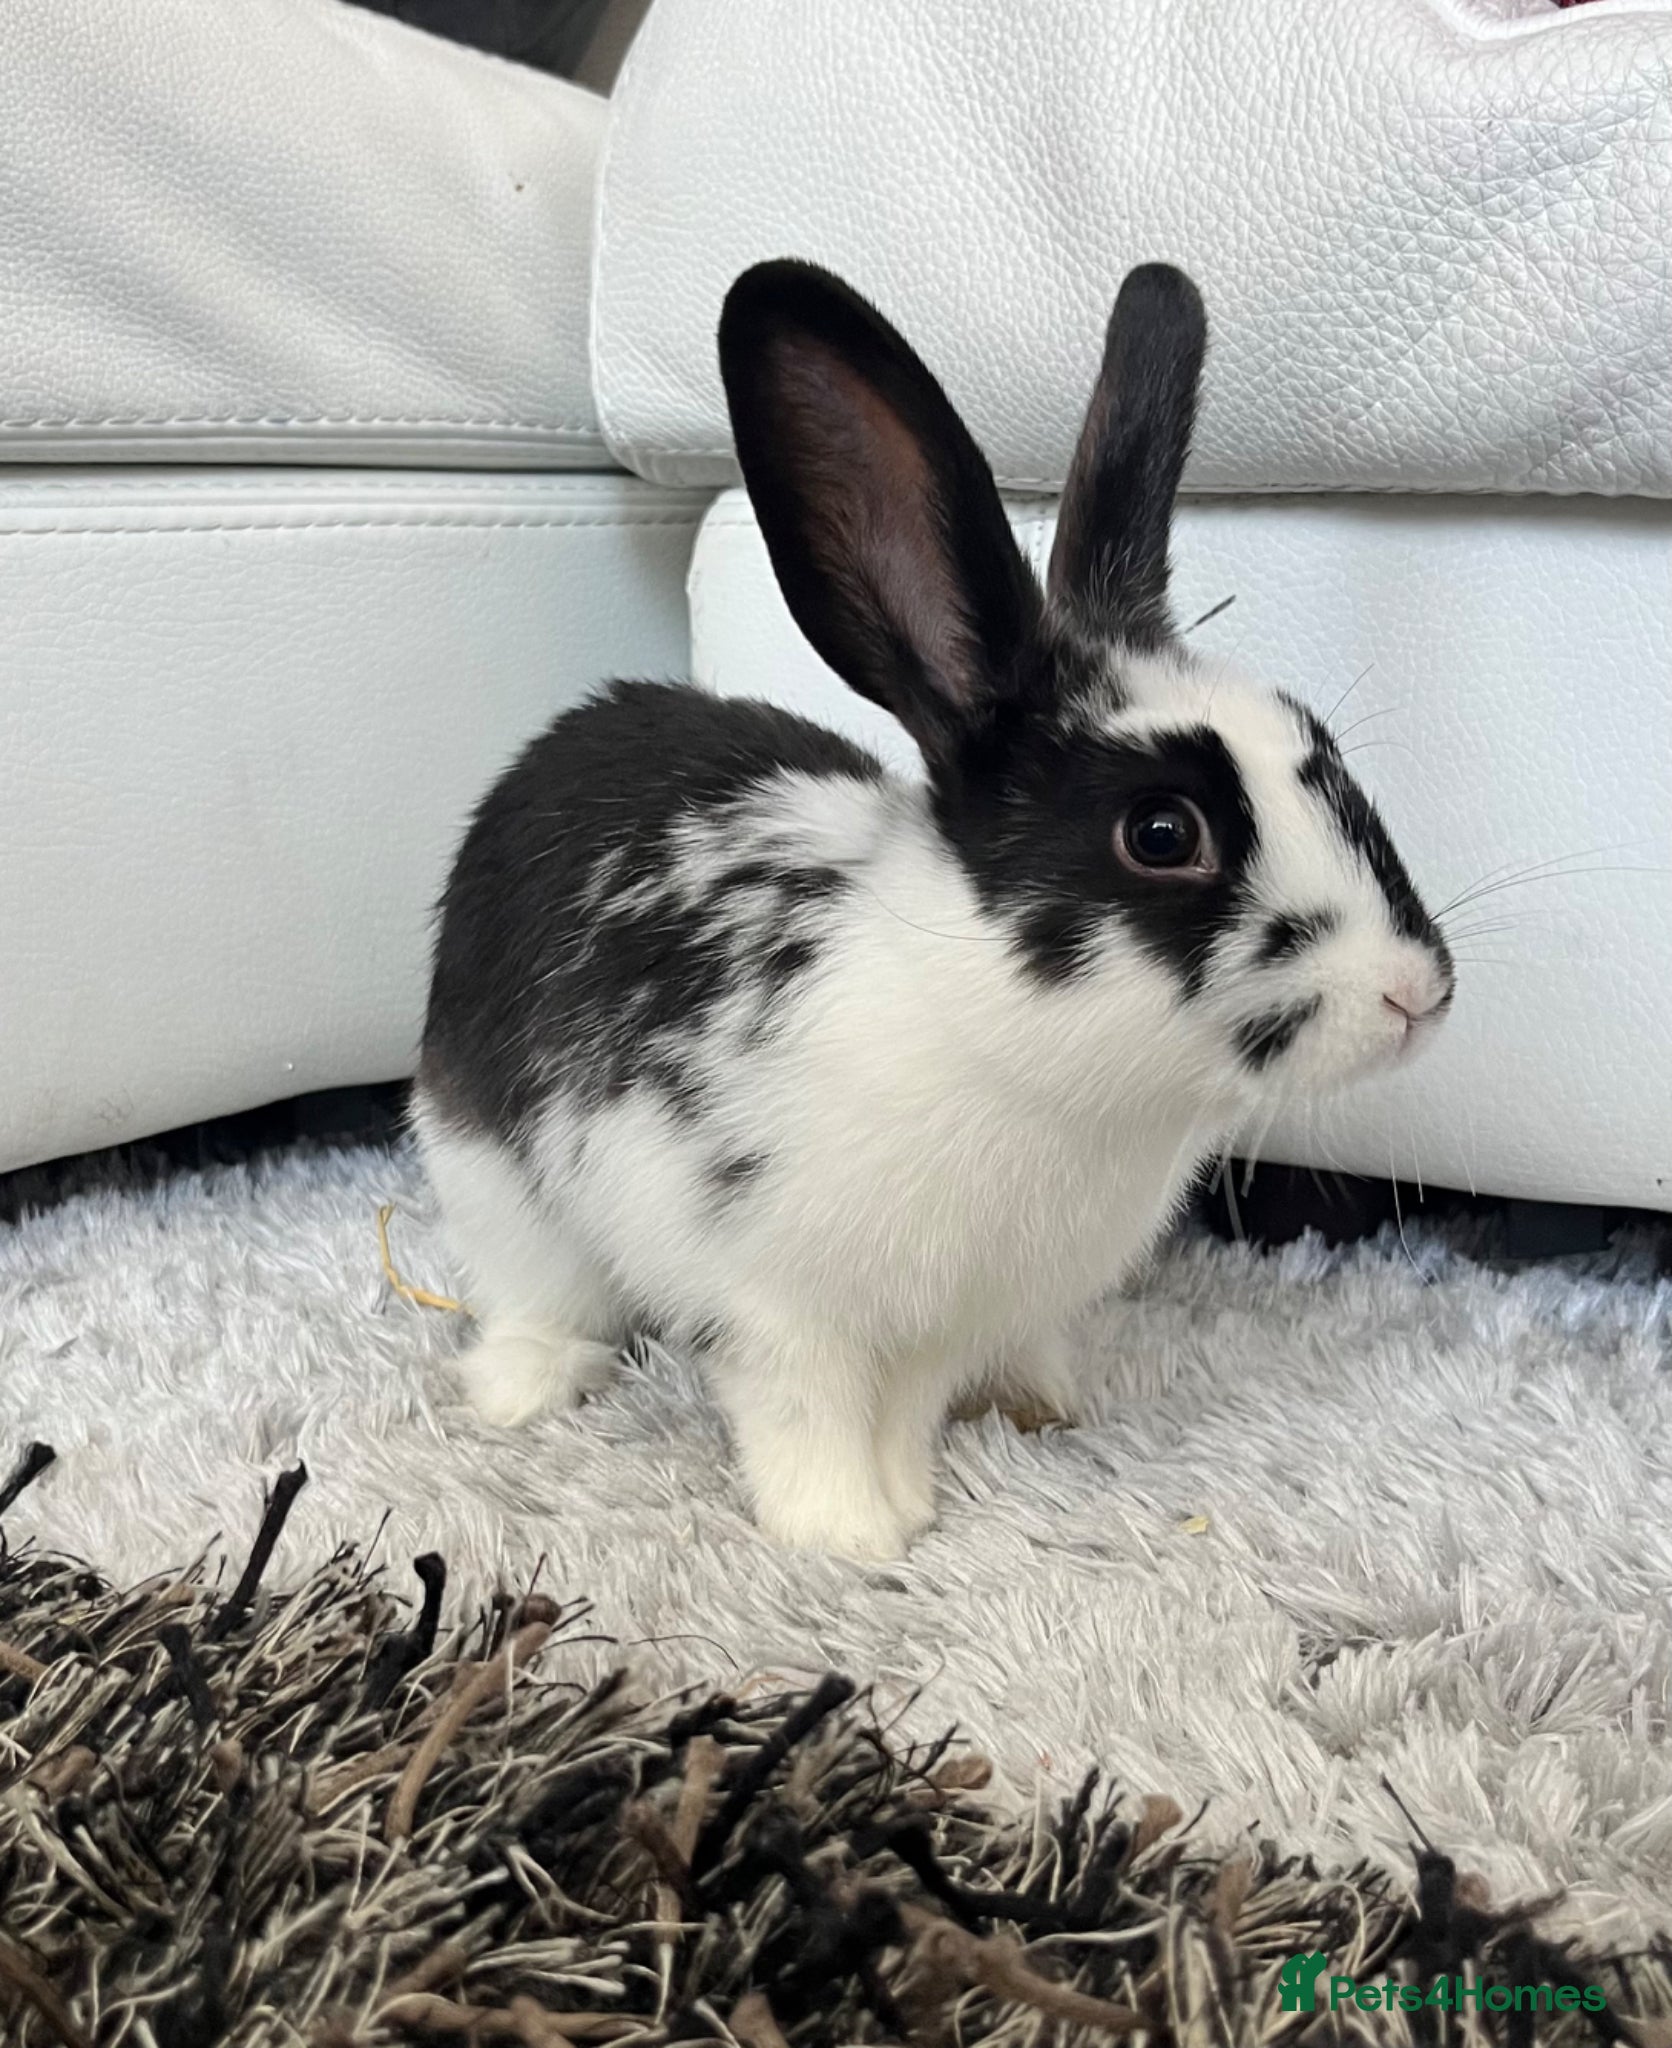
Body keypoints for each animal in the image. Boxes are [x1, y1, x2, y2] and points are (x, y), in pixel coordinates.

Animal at [413, 259, 1454, 1561]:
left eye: (1321, 750)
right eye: (1162, 833)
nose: (1416, 993)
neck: (1008, 1059)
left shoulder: (940, 1325)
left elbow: (904, 1408)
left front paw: (904, 1502)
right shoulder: (779, 1304)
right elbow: (802, 1412)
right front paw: (843, 1536)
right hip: (487, 1171)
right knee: (526, 1289)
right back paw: (530, 1387)